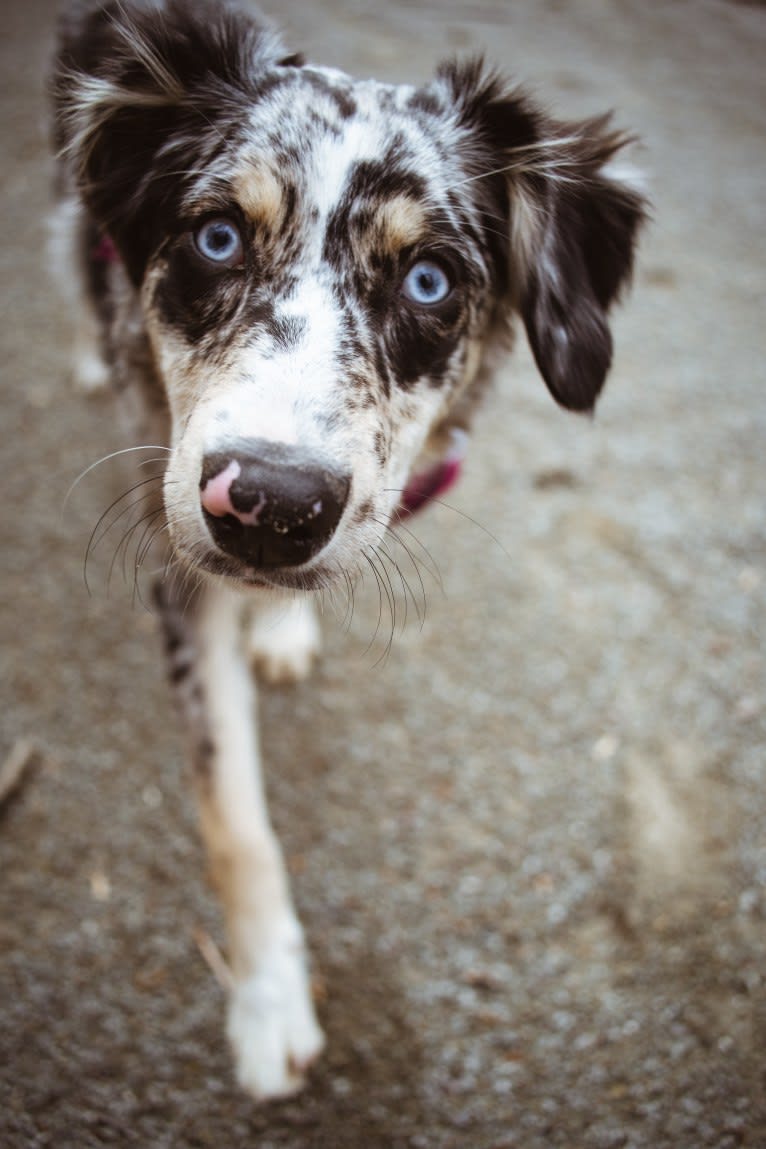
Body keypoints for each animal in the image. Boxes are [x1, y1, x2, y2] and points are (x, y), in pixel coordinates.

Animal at [49, 0, 647, 1098]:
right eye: (216, 236)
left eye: (429, 280)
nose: (268, 507)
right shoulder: (178, 550)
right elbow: (235, 820)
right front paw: (268, 1002)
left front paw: (283, 621)